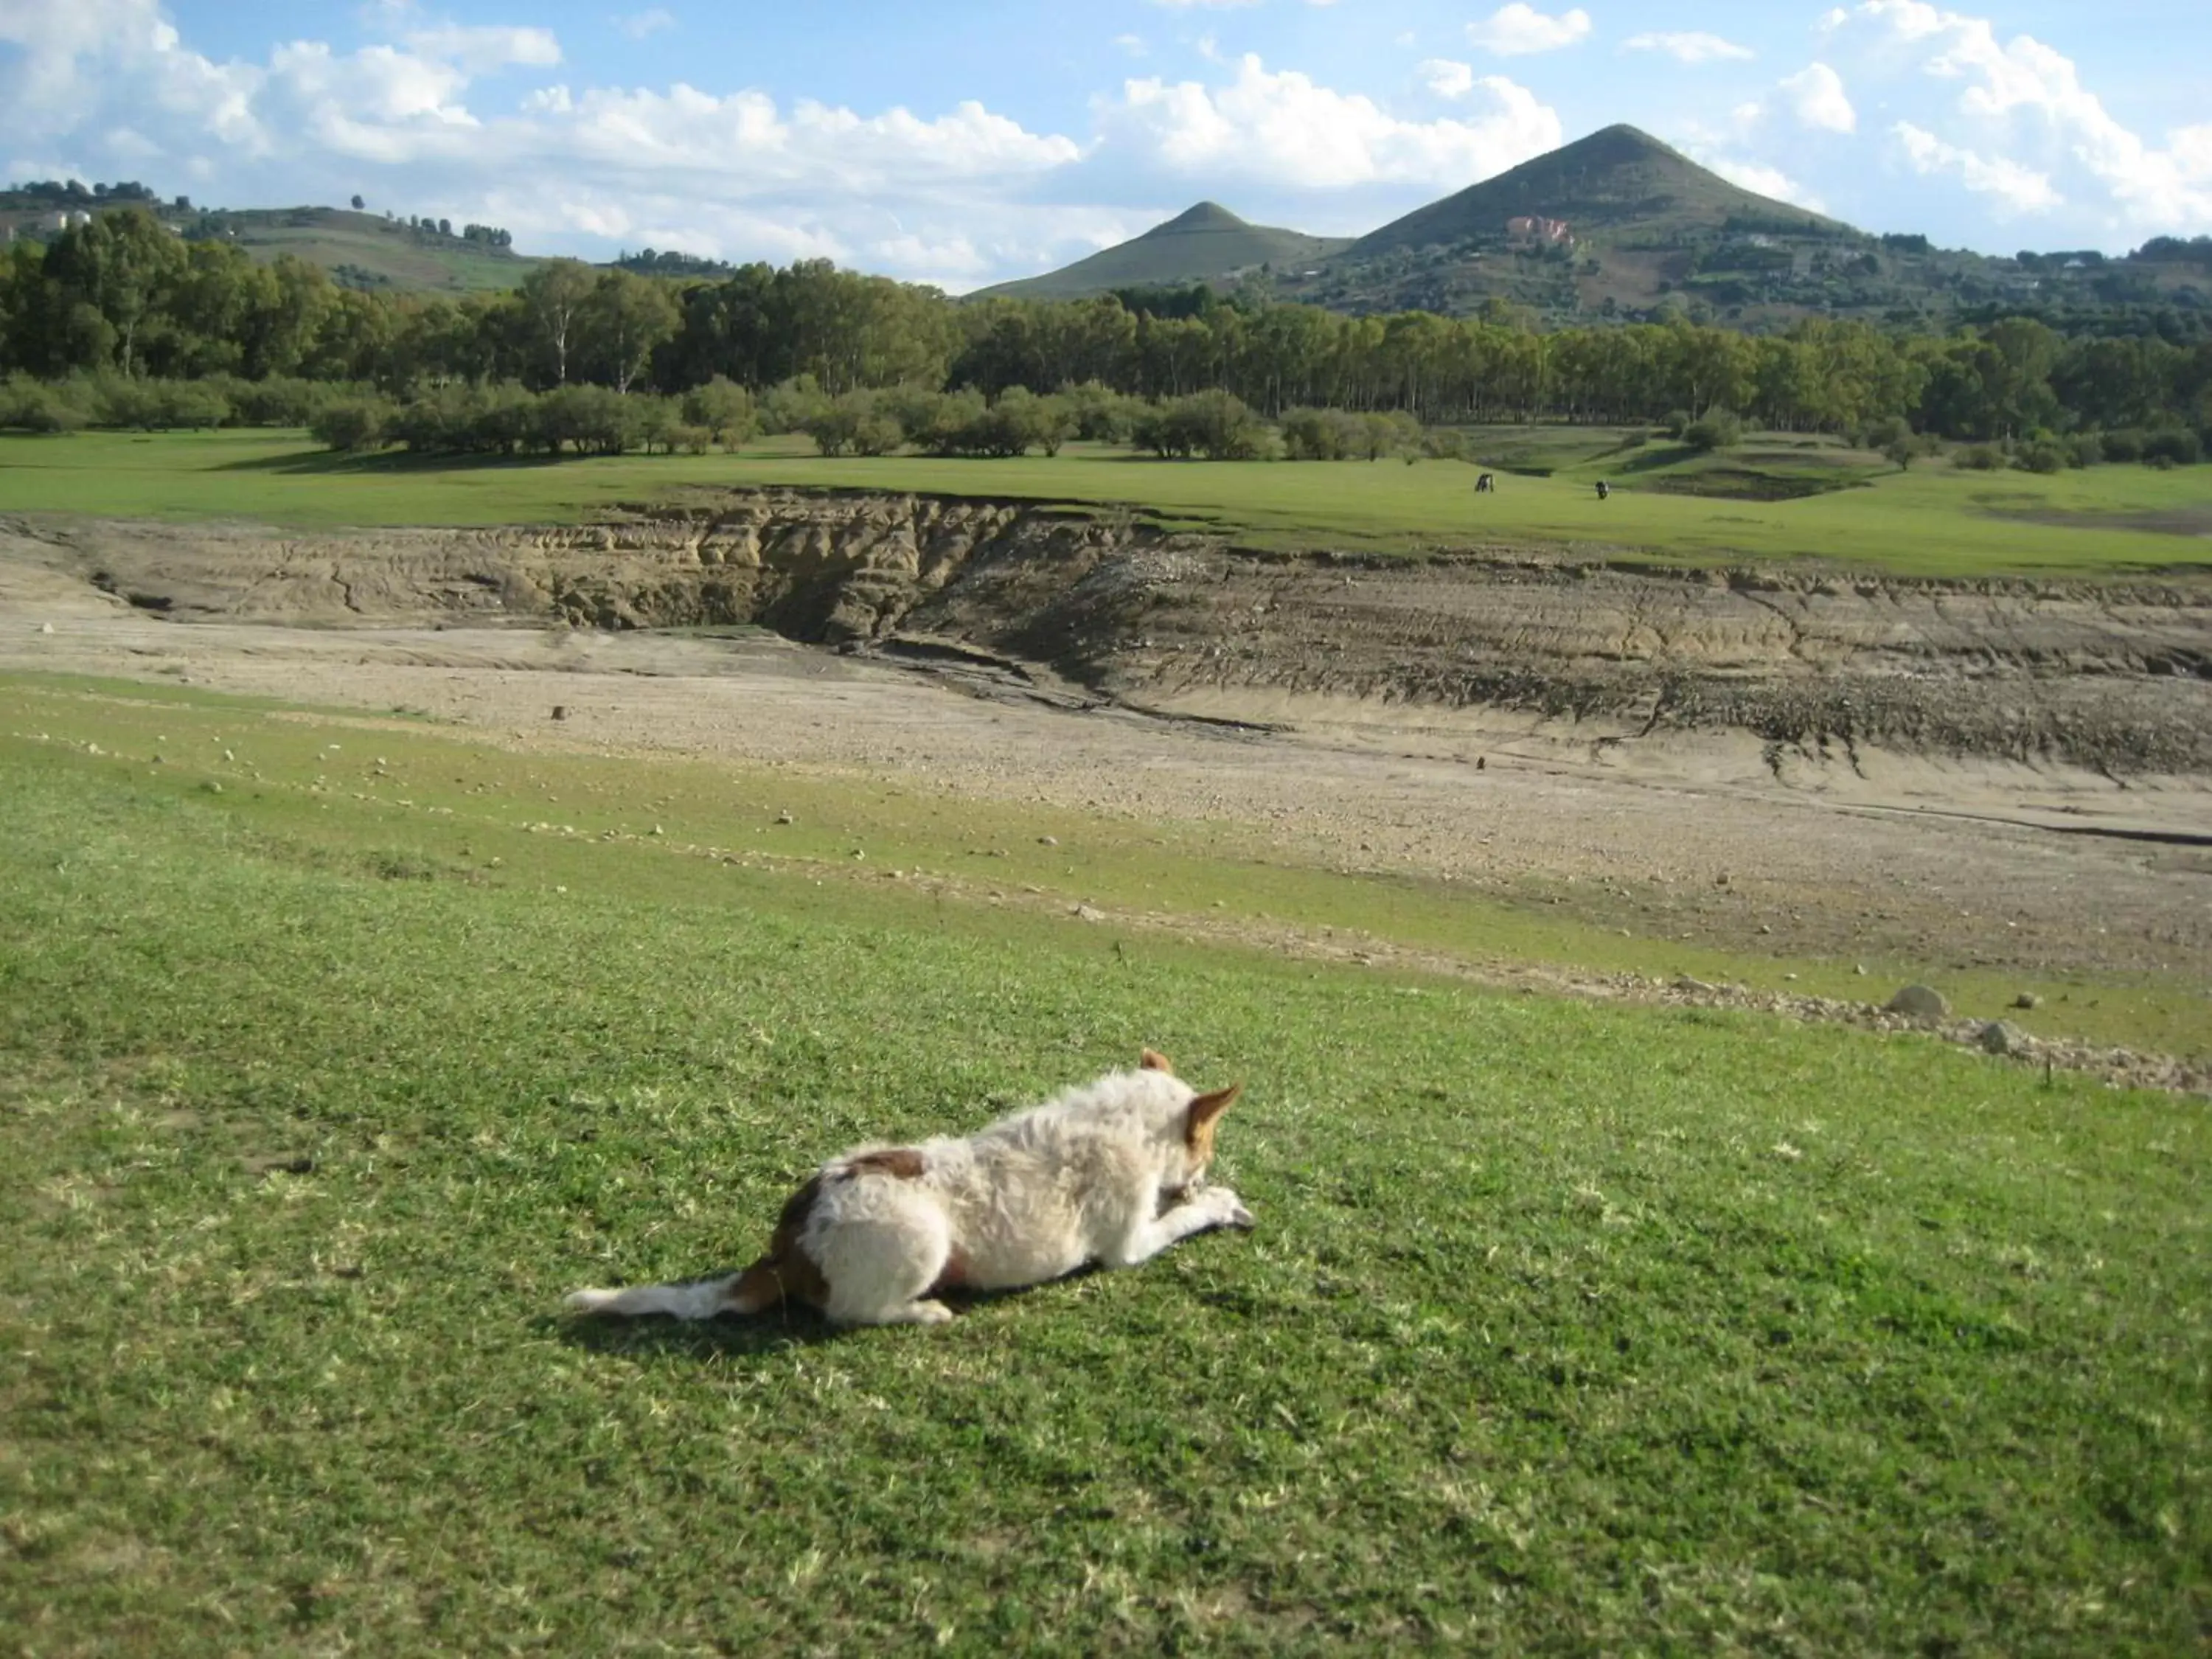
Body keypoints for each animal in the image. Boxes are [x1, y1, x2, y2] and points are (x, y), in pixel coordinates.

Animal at [571, 1053, 1256, 1336]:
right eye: (1209, 1147)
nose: (1203, 1171)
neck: (1127, 1123)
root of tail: (787, 1245)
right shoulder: (1130, 1246)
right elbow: (1184, 1216)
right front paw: (1218, 1201)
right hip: (923, 1240)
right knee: (852, 1314)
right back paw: (925, 1311)